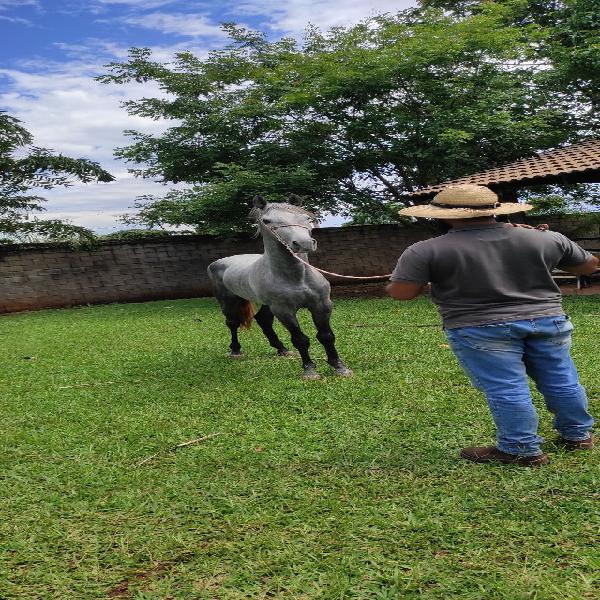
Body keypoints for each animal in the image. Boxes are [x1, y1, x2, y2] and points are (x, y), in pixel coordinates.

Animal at [210, 195, 354, 380]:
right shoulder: (284, 311)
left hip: (266, 305)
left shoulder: (321, 305)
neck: (298, 278)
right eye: (267, 220)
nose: (304, 243)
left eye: (306, 218)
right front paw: (309, 370)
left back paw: (282, 349)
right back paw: (235, 351)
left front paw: (339, 367)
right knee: (232, 323)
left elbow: (326, 336)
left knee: (263, 320)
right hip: (229, 302)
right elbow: (300, 340)